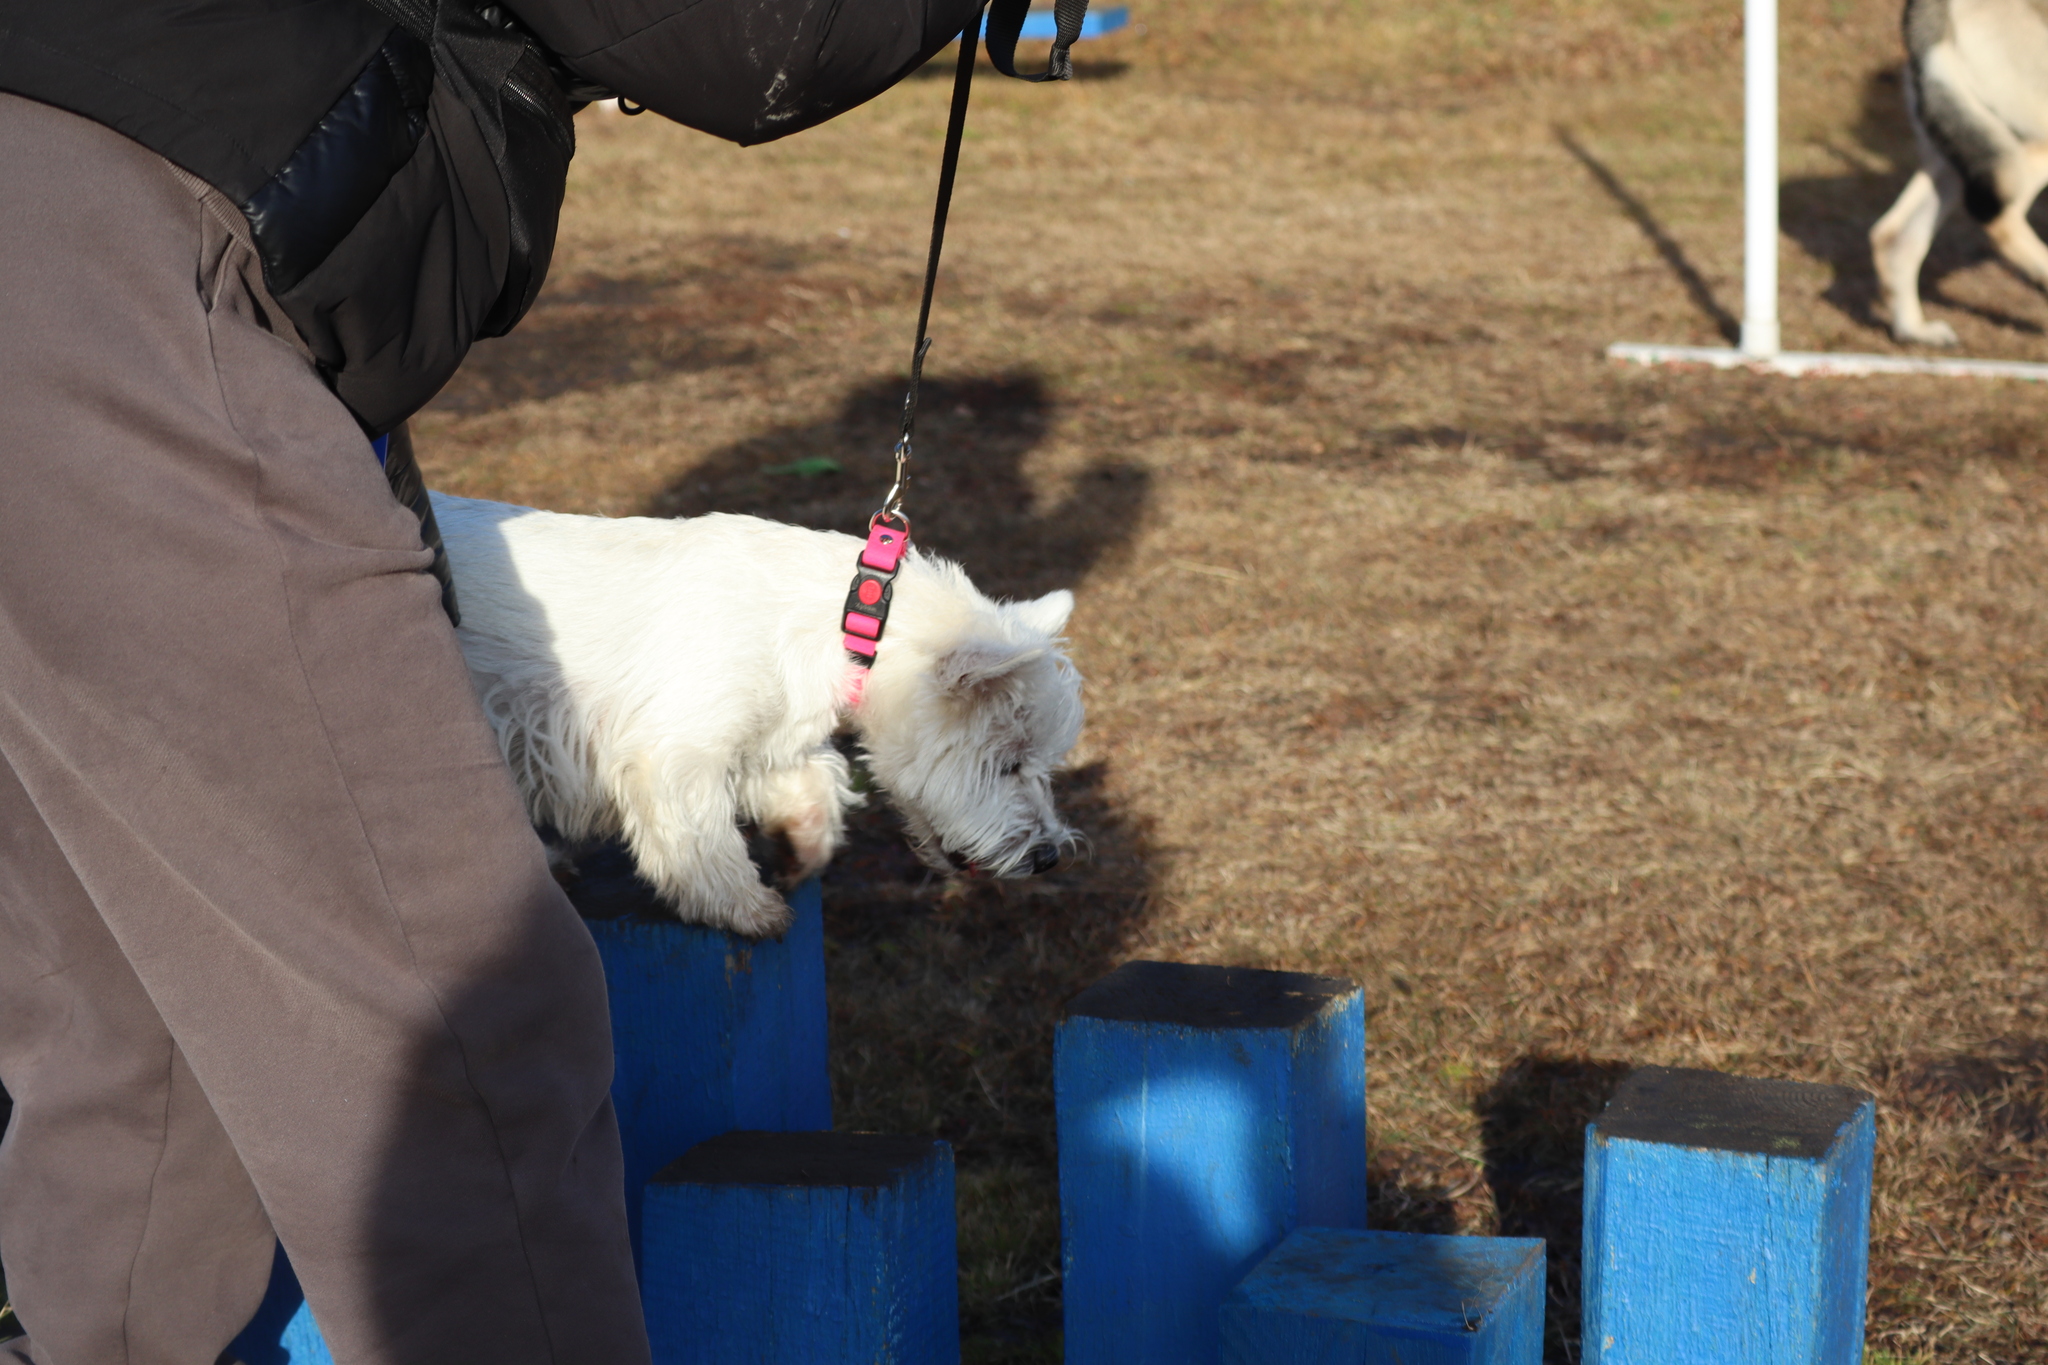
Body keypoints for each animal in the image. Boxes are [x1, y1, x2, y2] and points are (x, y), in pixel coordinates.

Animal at [432, 493, 1089, 941]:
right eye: (1007, 764)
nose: (1050, 857)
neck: (849, 622)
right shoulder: (671, 750)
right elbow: (697, 836)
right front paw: (748, 909)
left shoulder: (767, 734)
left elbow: (809, 785)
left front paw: (801, 848)